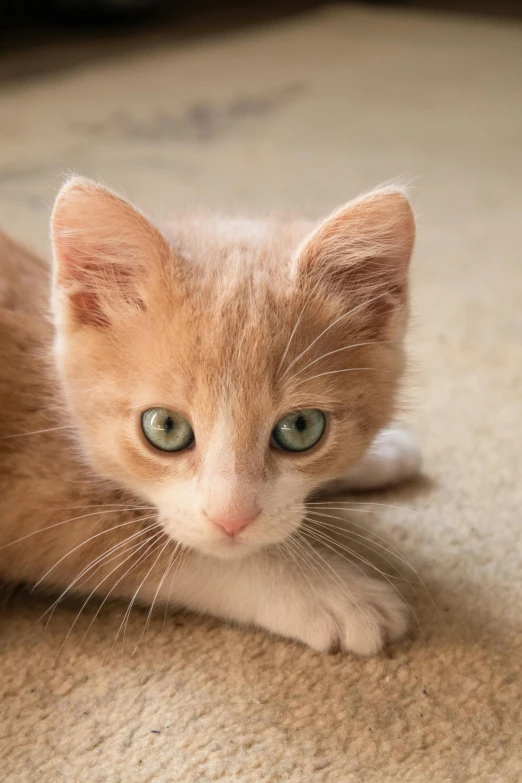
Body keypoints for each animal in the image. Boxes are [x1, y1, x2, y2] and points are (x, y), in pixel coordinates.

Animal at [0, 179, 418, 656]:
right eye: (165, 427)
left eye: (301, 428)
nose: (232, 518)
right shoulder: (31, 492)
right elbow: (167, 546)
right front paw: (329, 591)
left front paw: (384, 450)